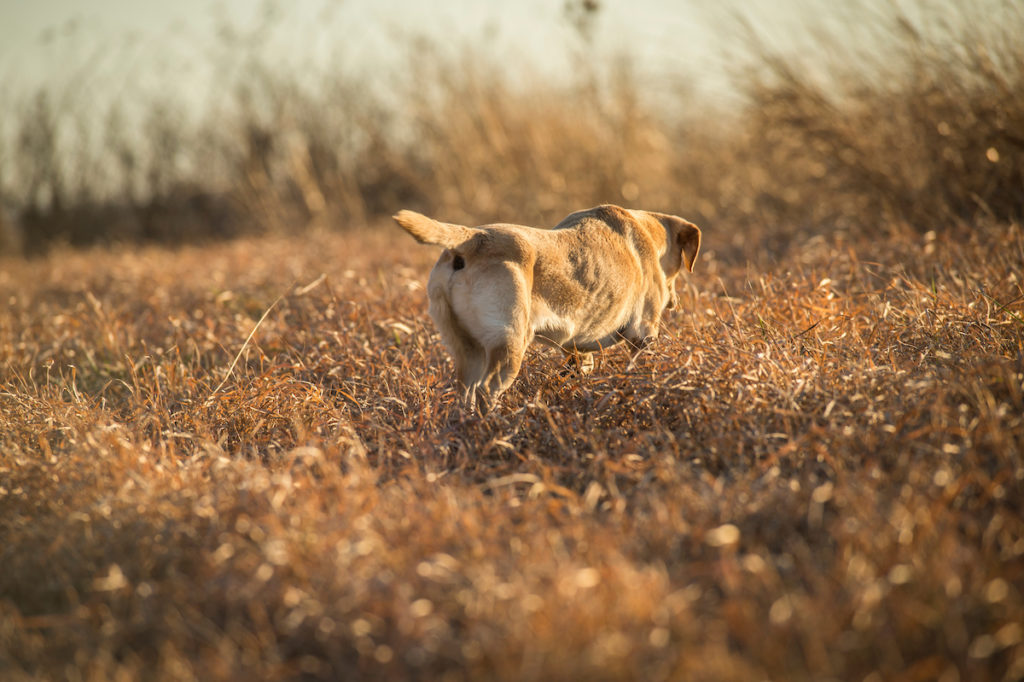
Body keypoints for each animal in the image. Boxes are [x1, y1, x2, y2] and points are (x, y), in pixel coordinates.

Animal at [389, 204, 696, 411]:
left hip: (467, 350)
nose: (675, 302)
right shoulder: (642, 335)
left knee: (465, 394)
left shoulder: (577, 350)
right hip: (510, 343)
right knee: (487, 391)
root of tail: (473, 237)